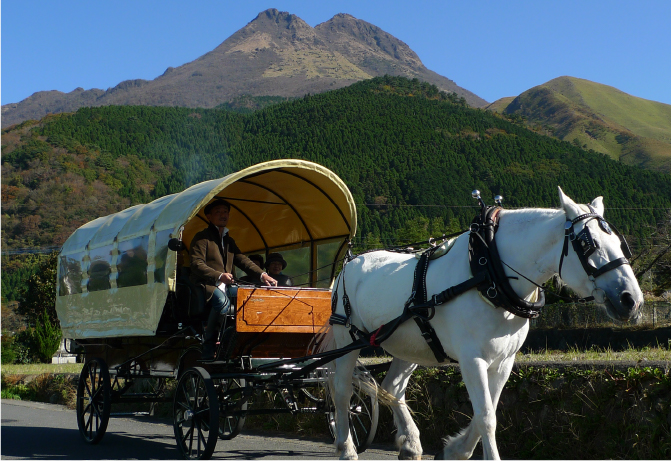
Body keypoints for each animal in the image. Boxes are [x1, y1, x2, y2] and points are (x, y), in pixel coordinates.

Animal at [326, 187, 644, 456]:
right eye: (587, 244)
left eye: (619, 243)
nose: (631, 300)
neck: (488, 272)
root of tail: (350, 262)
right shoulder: (472, 359)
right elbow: (487, 417)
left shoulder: (504, 360)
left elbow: (489, 410)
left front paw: (456, 450)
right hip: (347, 338)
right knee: (341, 391)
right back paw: (346, 447)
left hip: (412, 343)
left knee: (392, 387)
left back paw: (411, 443)